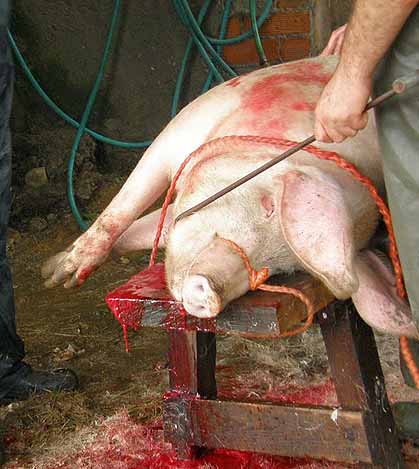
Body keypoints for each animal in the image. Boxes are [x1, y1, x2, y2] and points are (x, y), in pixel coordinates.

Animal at [42, 55, 418, 339]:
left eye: (280, 270)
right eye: (268, 207)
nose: (208, 294)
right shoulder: (180, 129)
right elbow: (128, 203)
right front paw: (56, 275)